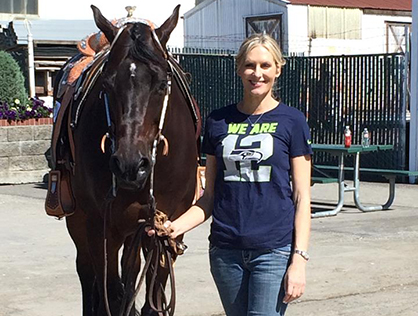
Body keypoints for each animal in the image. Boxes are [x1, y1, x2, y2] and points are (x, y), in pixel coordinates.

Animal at [62, 5, 199, 316]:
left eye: (161, 84)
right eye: (107, 84)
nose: (130, 165)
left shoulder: (167, 227)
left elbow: (152, 295)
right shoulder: (100, 226)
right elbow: (110, 293)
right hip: (78, 219)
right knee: (87, 274)